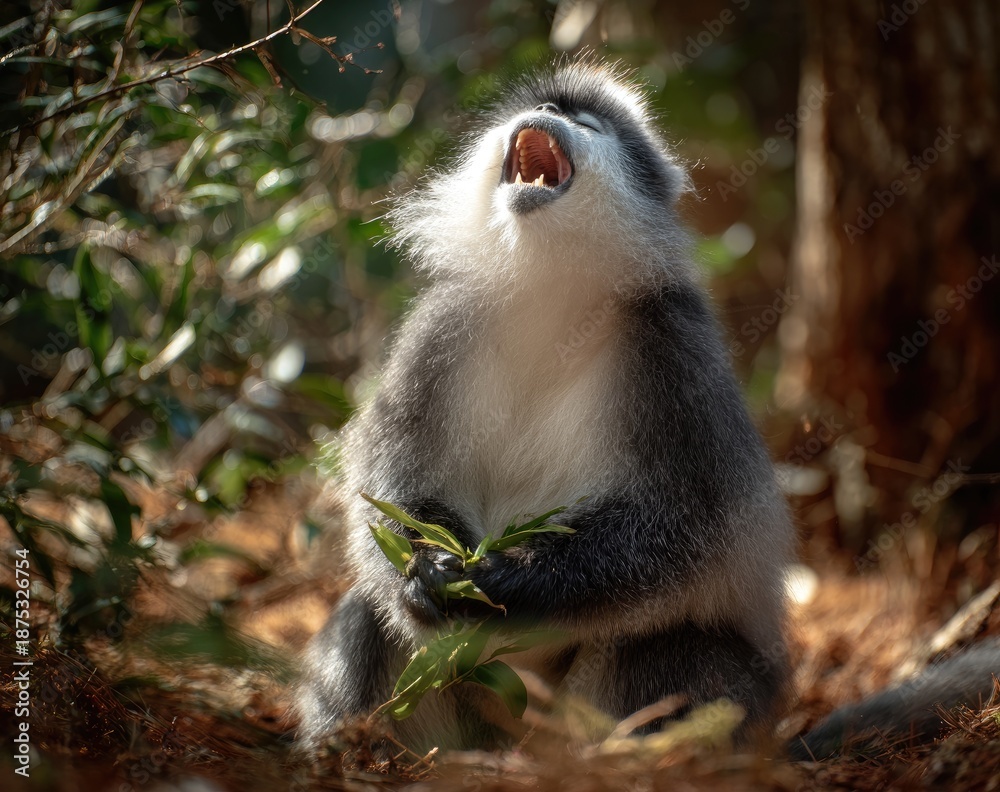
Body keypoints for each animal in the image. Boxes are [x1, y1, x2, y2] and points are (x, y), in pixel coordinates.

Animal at [296, 58, 794, 753]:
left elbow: (688, 527)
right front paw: (428, 571)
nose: (550, 115)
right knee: (371, 617)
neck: (552, 295)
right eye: (549, 107)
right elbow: (385, 487)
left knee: (663, 646)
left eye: (586, 122)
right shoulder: (441, 326)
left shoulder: (671, 346)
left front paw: (513, 578)